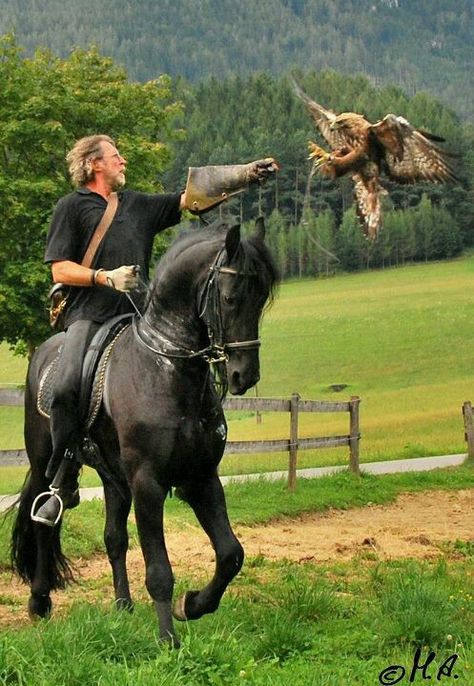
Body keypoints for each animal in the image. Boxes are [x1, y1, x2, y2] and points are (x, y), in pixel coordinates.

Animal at [10, 218, 278, 648]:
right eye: (231, 296)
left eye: (262, 298)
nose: (243, 376)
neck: (167, 369)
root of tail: (43, 353)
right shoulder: (147, 483)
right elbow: (159, 571)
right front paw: (169, 640)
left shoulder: (202, 478)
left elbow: (230, 554)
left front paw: (194, 605)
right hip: (43, 463)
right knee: (43, 522)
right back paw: (39, 602)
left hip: (112, 477)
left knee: (113, 537)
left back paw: (123, 605)